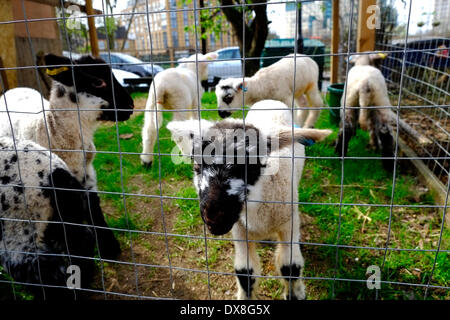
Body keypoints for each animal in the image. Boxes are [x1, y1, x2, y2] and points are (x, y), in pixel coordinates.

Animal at [167, 100, 332, 300]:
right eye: (197, 165)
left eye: (251, 165)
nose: (214, 217)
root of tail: (270, 101)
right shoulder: (240, 229)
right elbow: (245, 272)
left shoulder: (289, 222)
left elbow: (290, 268)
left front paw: (296, 294)